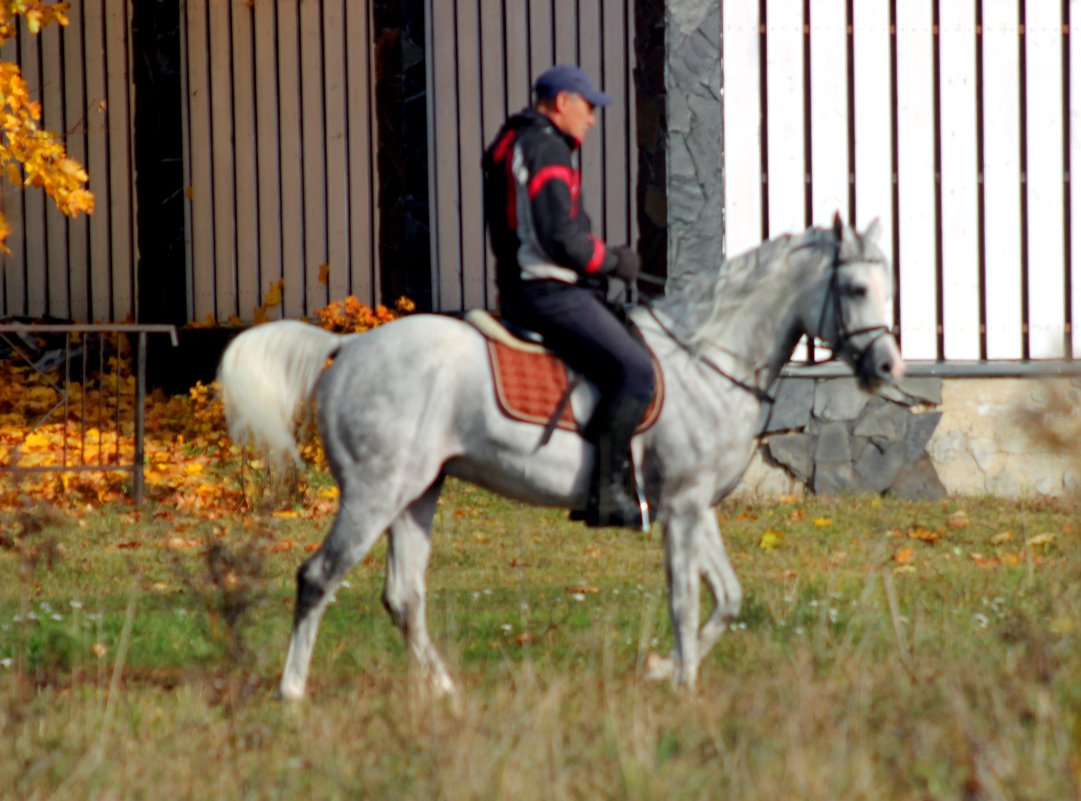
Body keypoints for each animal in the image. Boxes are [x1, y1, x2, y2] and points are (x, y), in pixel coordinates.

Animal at [217, 215, 903, 696]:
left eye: (889, 285)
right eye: (855, 287)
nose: (887, 367)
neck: (709, 355)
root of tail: (350, 347)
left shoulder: (693, 504)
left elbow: (727, 598)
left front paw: (663, 669)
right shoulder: (682, 507)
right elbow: (685, 600)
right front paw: (683, 687)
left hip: (416, 495)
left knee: (403, 597)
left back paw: (444, 691)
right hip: (372, 496)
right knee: (318, 577)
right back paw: (292, 692)